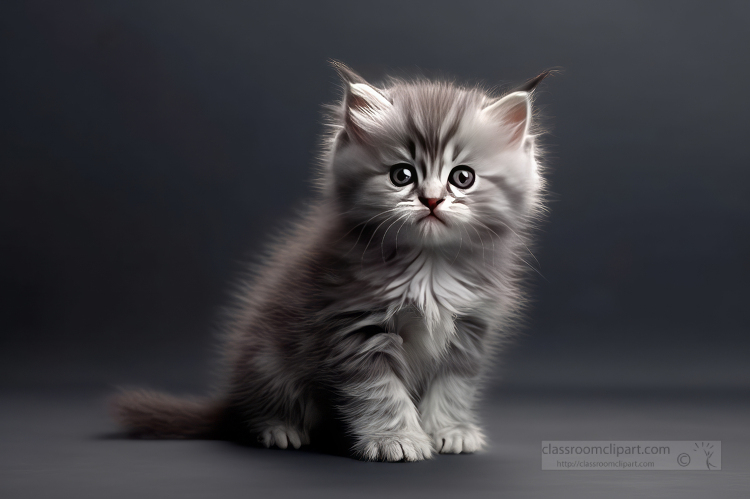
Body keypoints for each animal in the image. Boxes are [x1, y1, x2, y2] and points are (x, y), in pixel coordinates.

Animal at [111, 61, 548, 460]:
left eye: (462, 177)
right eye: (402, 175)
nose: (431, 200)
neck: (430, 264)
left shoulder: (470, 329)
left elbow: (453, 386)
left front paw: (449, 431)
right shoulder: (354, 324)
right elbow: (381, 392)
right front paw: (397, 439)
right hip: (267, 357)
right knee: (262, 406)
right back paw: (279, 429)